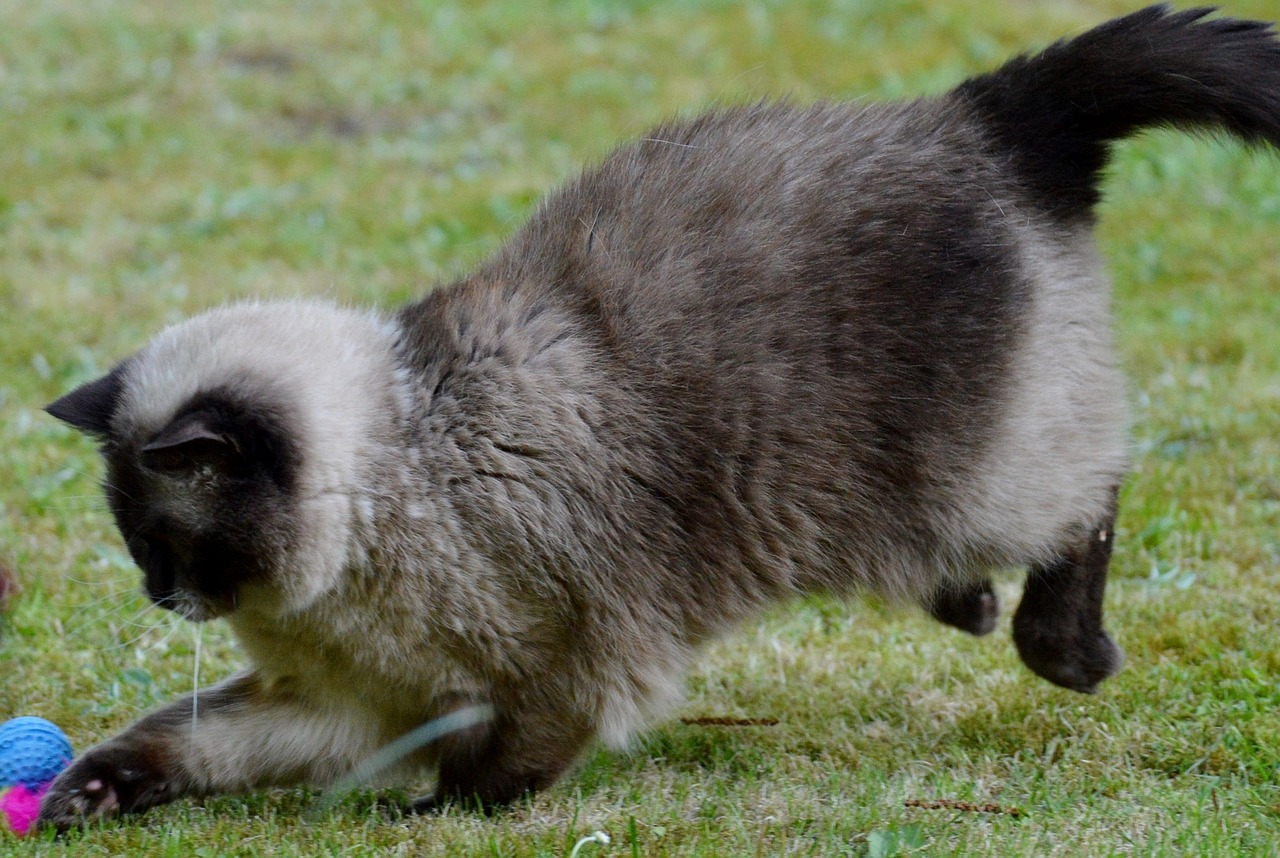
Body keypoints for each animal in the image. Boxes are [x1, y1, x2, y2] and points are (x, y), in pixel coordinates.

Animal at [35, 3, 1280, 829]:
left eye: (160, 540)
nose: (159, 595)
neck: (386, 491)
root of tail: (980, 112)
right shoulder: (345, 701)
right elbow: (190, 738)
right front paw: (85, 792)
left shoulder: (557, 666)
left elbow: (501, 773)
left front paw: (430, 820)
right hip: (903, 508)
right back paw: (971, 609)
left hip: (967, 475)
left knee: (1089, 496)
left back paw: (1067, 653)